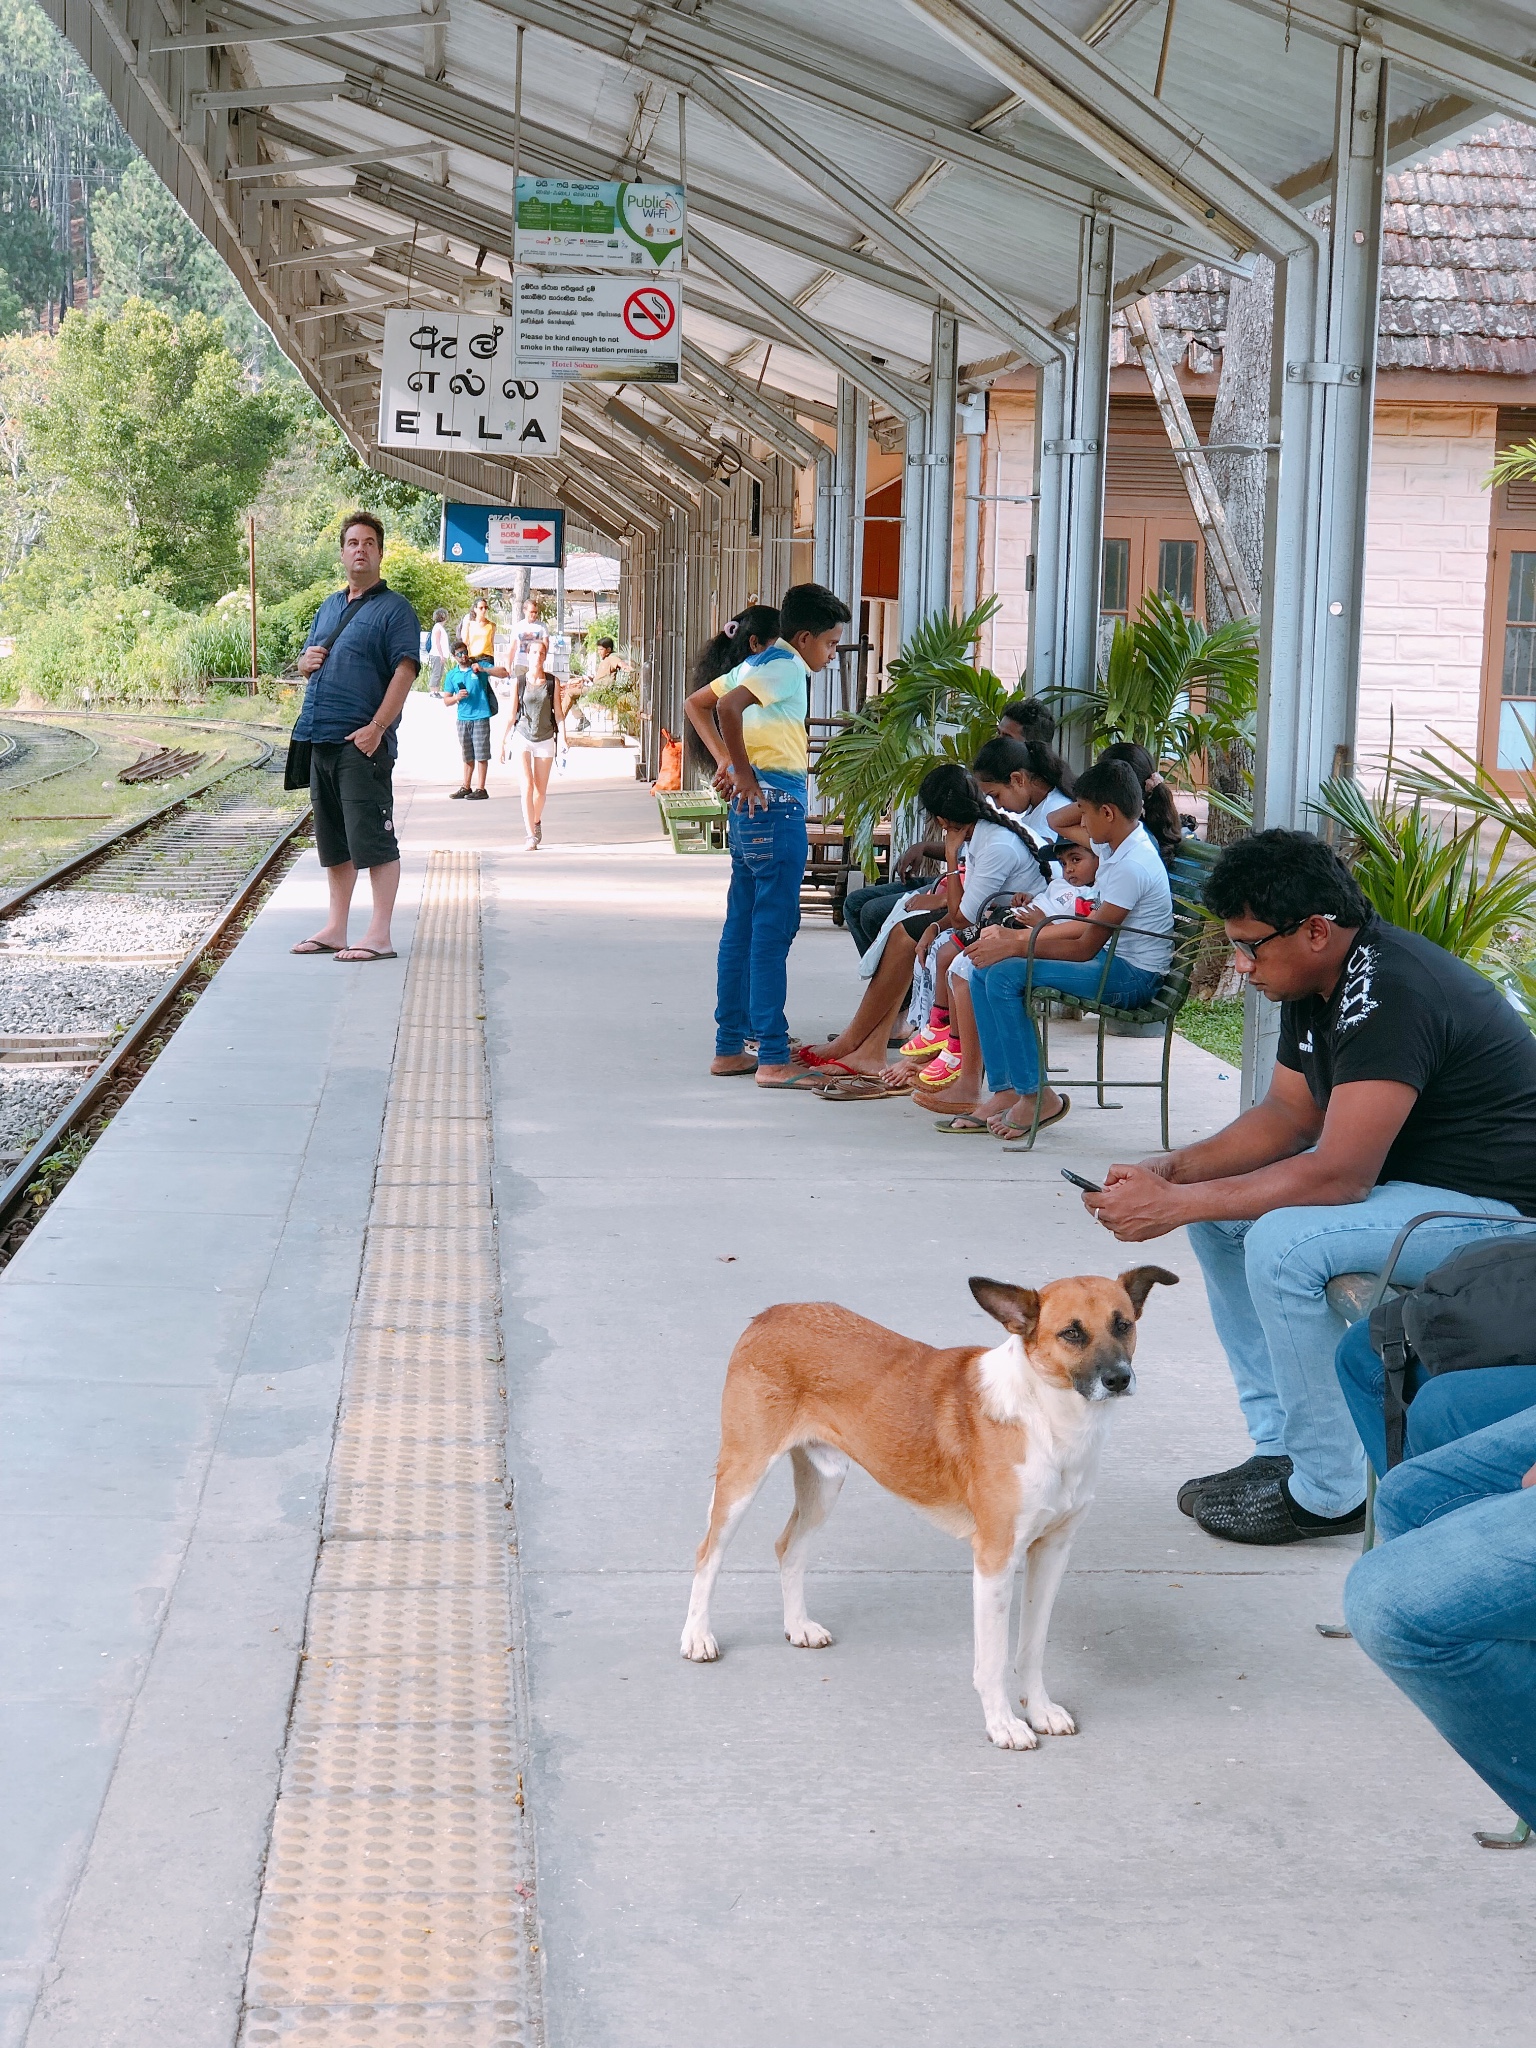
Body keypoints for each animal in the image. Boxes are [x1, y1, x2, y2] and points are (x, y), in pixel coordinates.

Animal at [684, 1261, 1179, 1744]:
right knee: (708, 1553)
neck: (1049, 1421)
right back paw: (698, 1637)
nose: (1119, 1379)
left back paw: (798, 1626)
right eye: (1071, 1333)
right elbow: (994, 1659)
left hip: (825, 1482)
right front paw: (1003, 1724)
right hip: (744, 1474)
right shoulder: (995, 1559)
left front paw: (1039, 1710)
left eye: (1123, 1324)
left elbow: (1031, 1647)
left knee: (789, 1547)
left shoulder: (1052, 1552)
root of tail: (771, 1313)